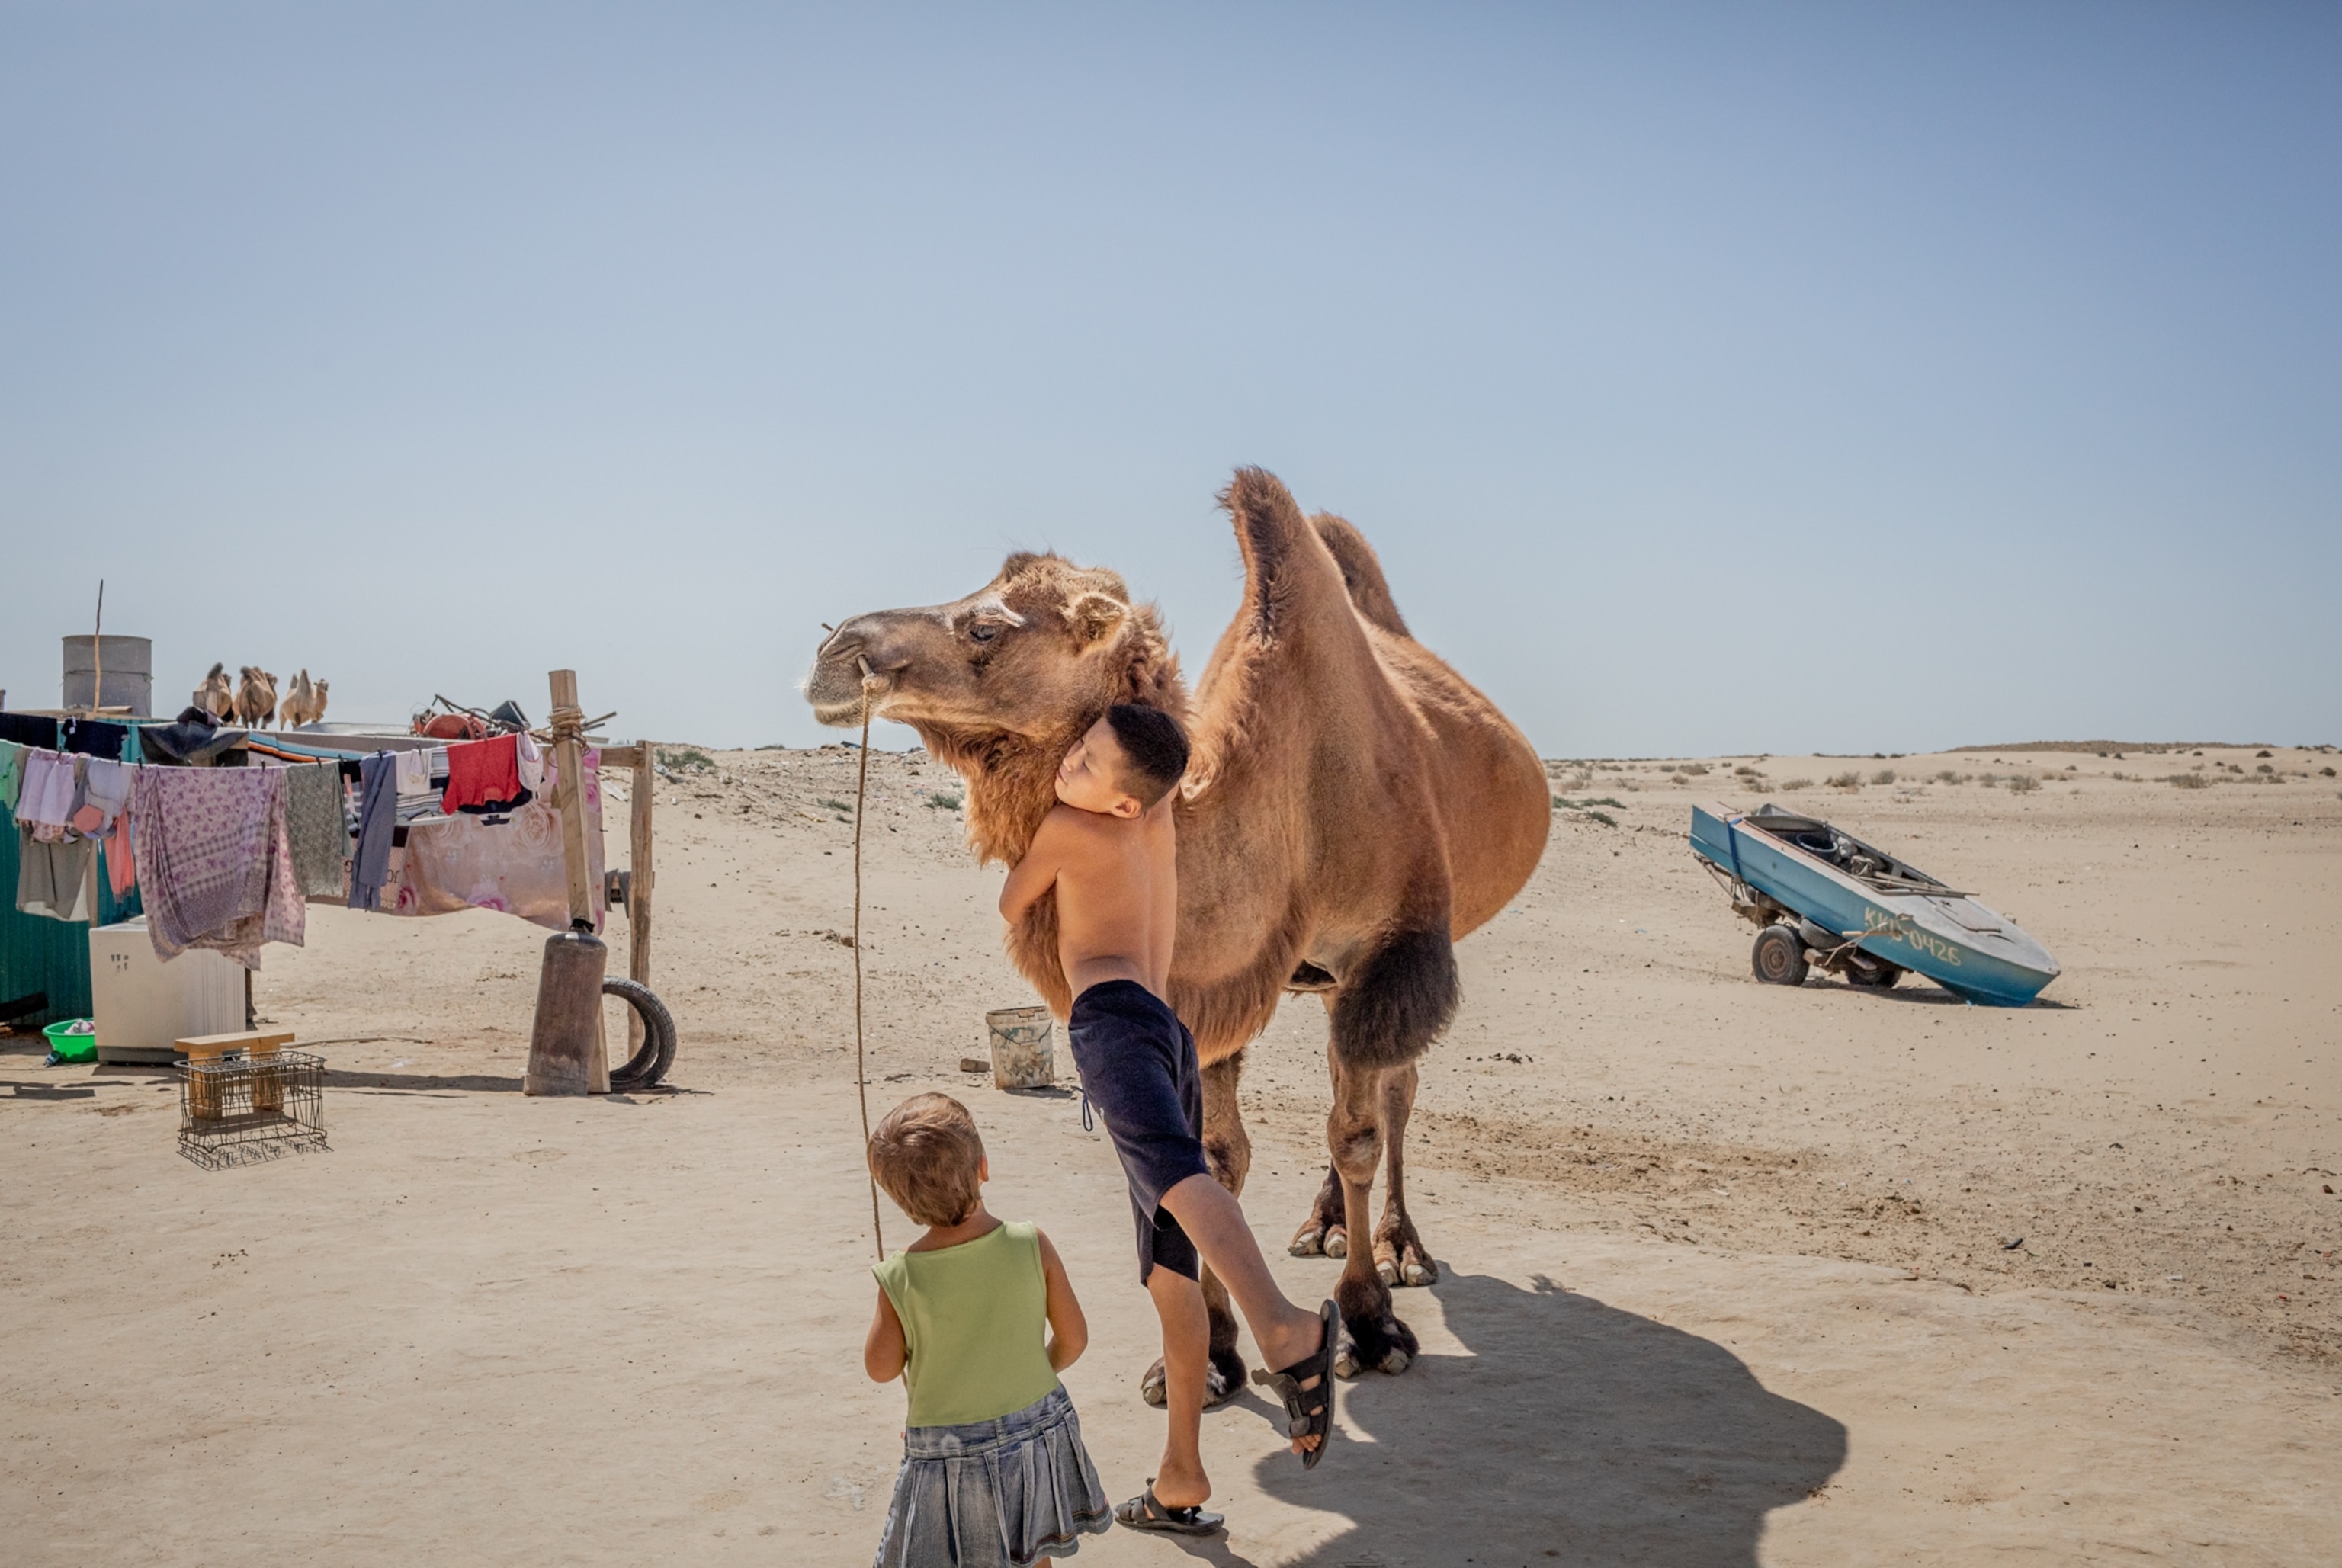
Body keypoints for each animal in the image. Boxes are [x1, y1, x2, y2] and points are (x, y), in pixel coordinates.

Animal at [804, 467, 1549, 1398]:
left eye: (987, 627)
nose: (835, 650)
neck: (1291, 803)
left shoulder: (1387, 953)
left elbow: (1357, 1134)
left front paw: (1371, 1326)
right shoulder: (1209, 984)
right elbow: (1217, 1158)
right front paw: (1213, 1354)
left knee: (1393, 1094)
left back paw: (1398, 1248)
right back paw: (1323, 1225)